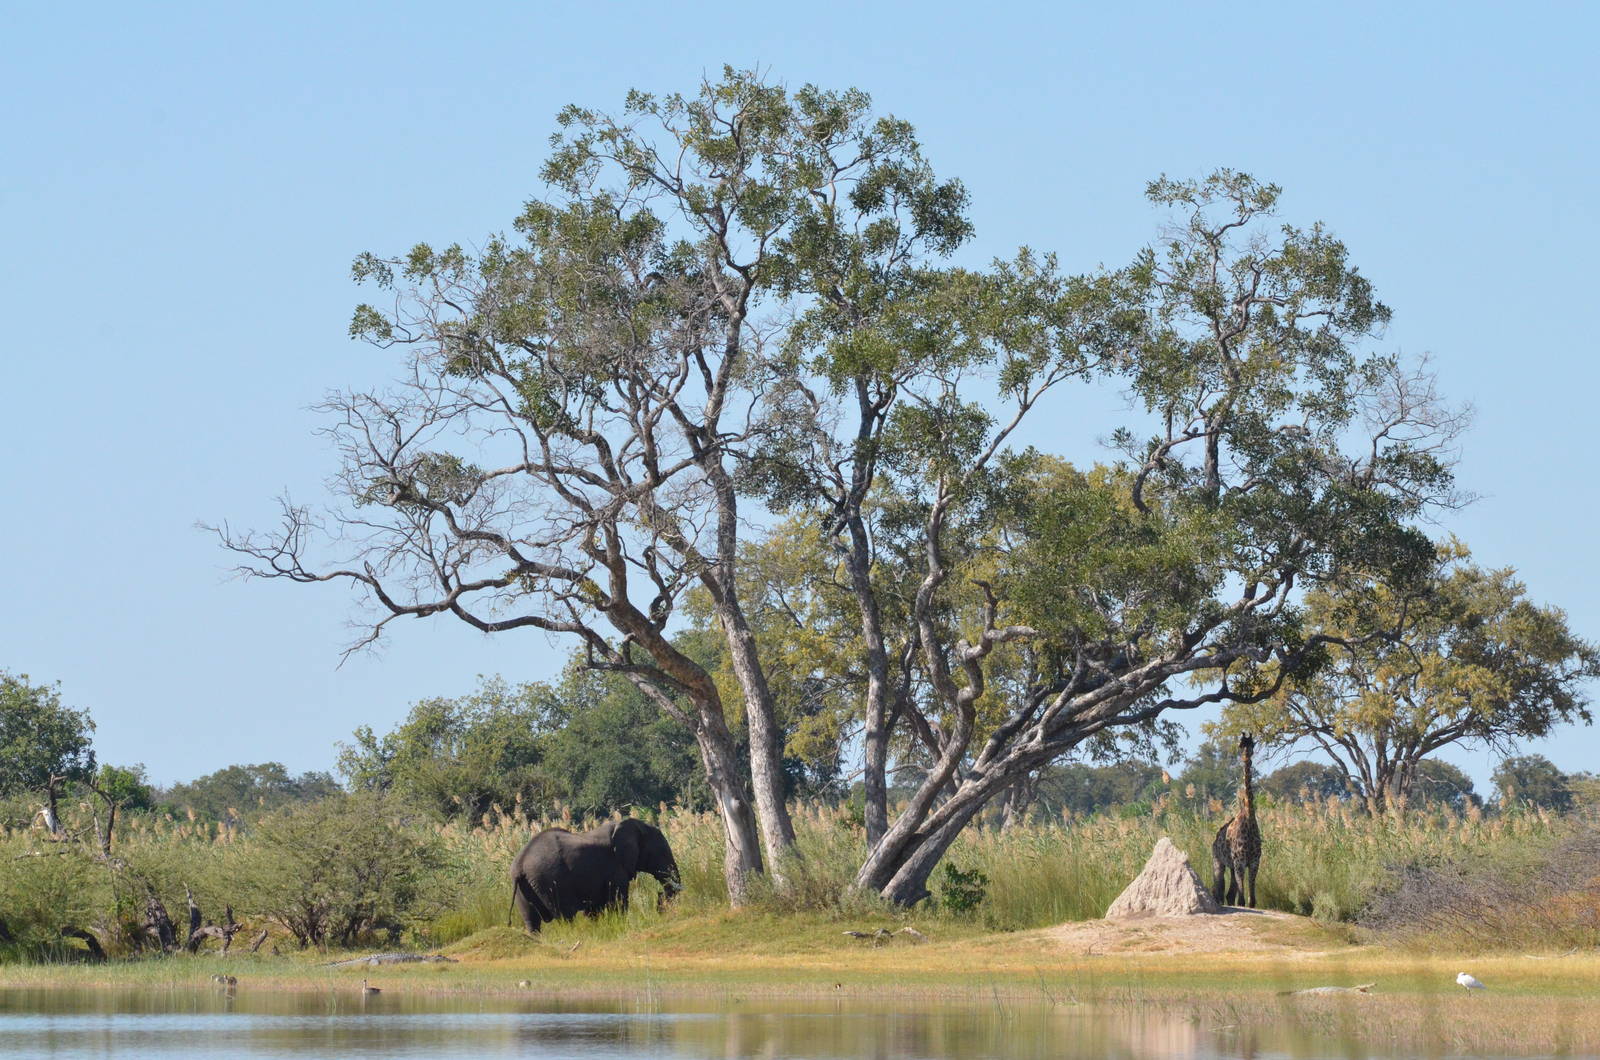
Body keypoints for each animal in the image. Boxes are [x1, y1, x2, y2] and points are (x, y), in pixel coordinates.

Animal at [508, 817, 682, 933]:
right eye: (660, 853)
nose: (659, 905)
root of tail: (520, 864)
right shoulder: (615, 867)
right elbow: (618, 902)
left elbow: (594, 909)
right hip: (549, 881)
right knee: (565, 916)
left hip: (525, 887)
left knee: (531, 921)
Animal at [1211, 733, 1262, 907]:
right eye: (1240, 744)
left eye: (1252, 744)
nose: (1247, 756)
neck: (1249, 818)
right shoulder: (1240, 861)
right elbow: (1241, 900)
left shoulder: (1254, 861)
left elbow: (1251, 901)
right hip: (1218, 861)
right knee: (1218, 889)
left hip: (1232, 866)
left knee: (1228, 894)